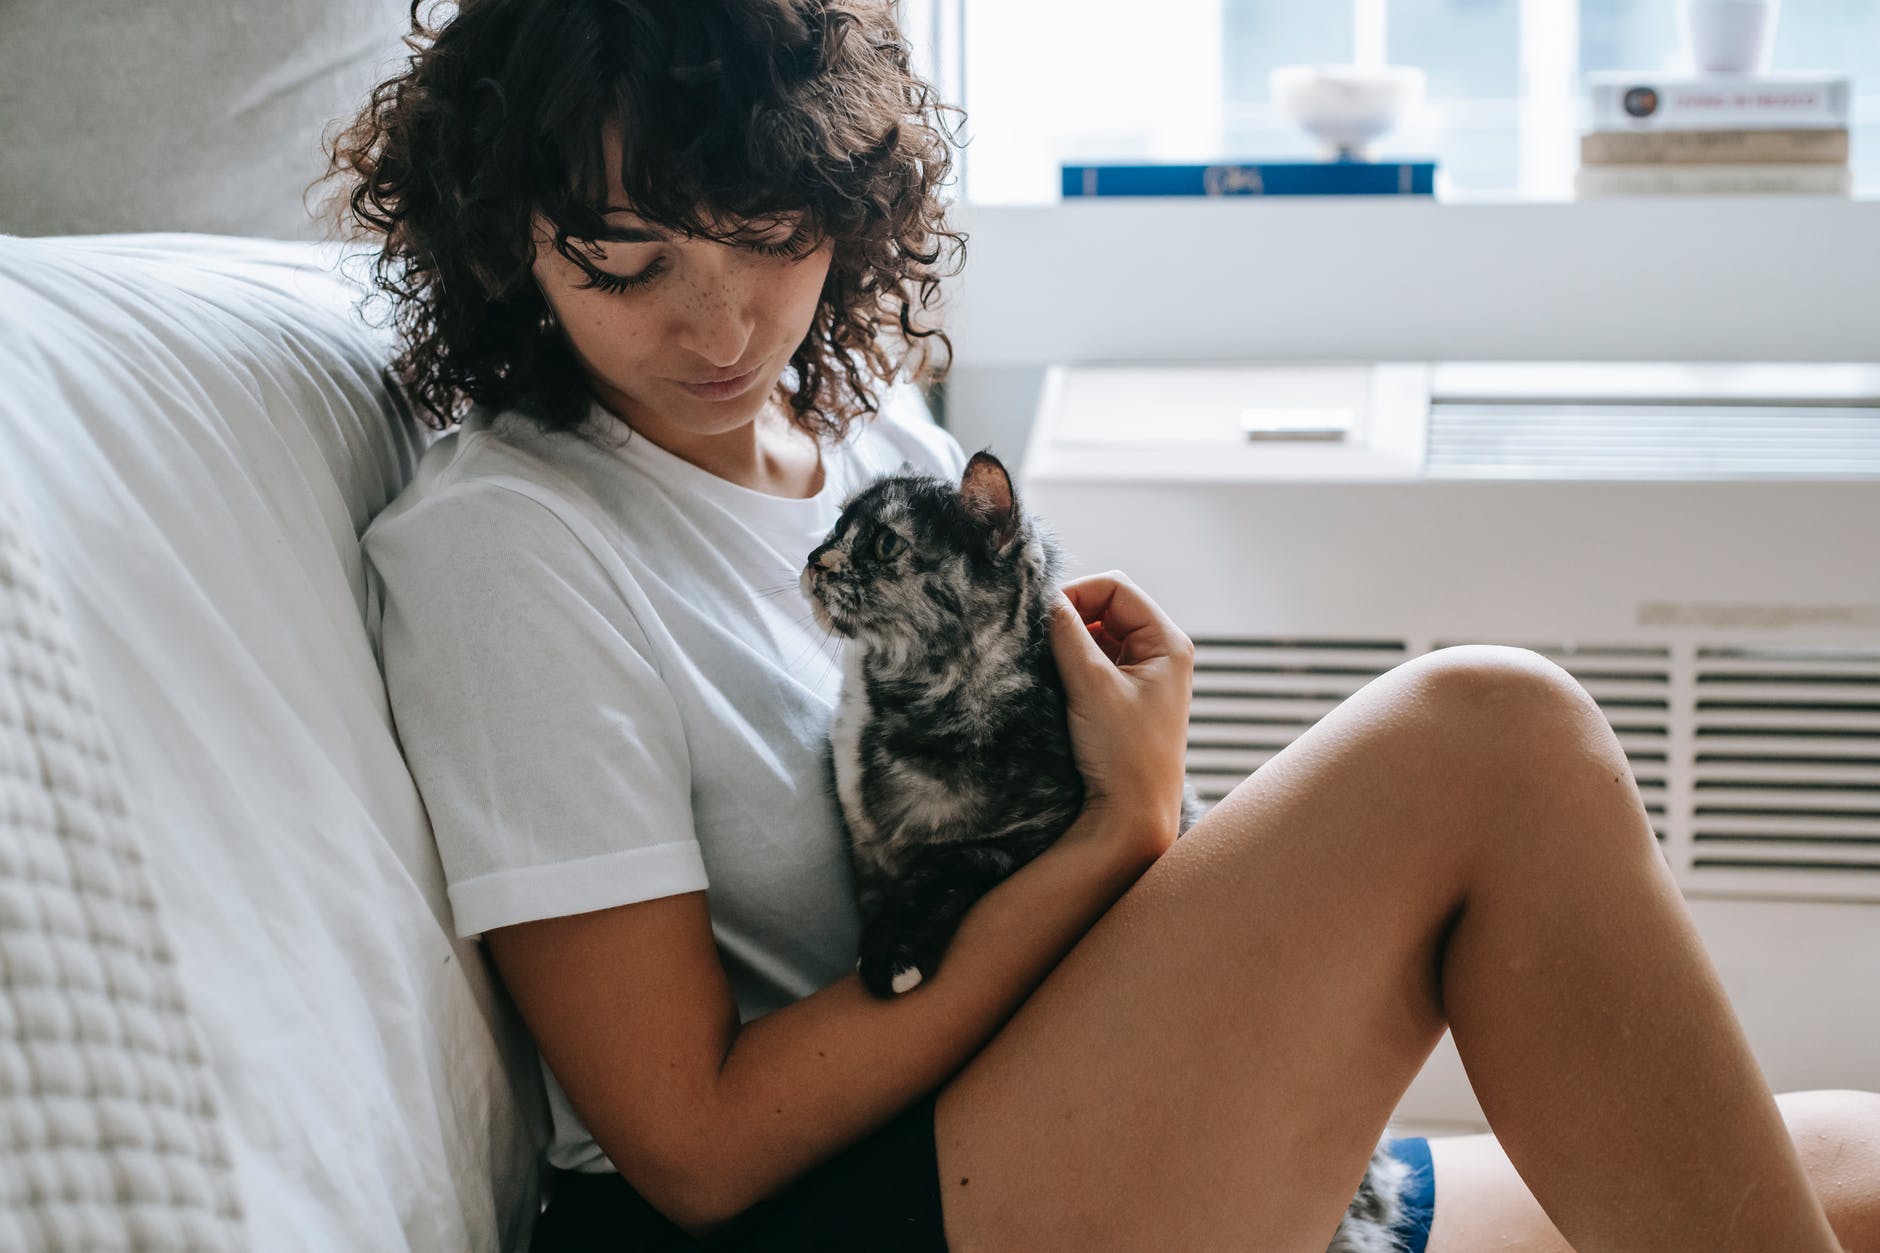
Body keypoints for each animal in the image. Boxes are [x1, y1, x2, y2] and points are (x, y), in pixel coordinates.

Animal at [800, 449, 1413, 1249]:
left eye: (882, 544)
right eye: (835, 526)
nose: (813, 559)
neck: (886, 711)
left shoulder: (1030, 837)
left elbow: (952, 862)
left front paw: (895, 957)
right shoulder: (868, 852)